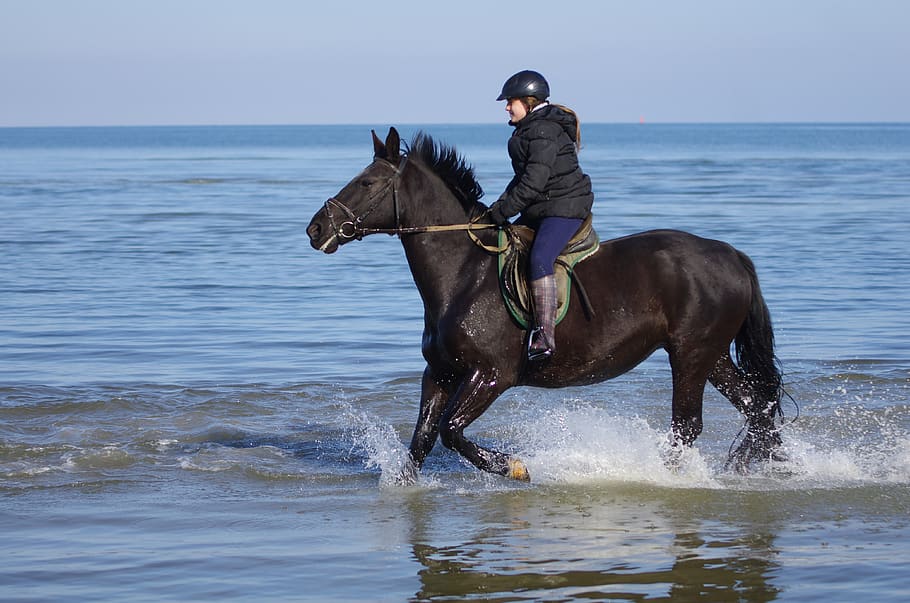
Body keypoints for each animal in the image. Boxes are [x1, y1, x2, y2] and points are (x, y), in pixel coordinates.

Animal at [306, 127, 785, 483]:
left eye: (367, 182)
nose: (315, 229)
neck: (464, 274)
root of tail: (733, 256)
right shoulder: (441, 372)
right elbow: (422, 438)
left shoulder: (491, 375)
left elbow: (451, 431)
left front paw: (515, 468)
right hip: (710, 355)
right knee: (757, 405)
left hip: (690, 354)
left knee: (689, 425)